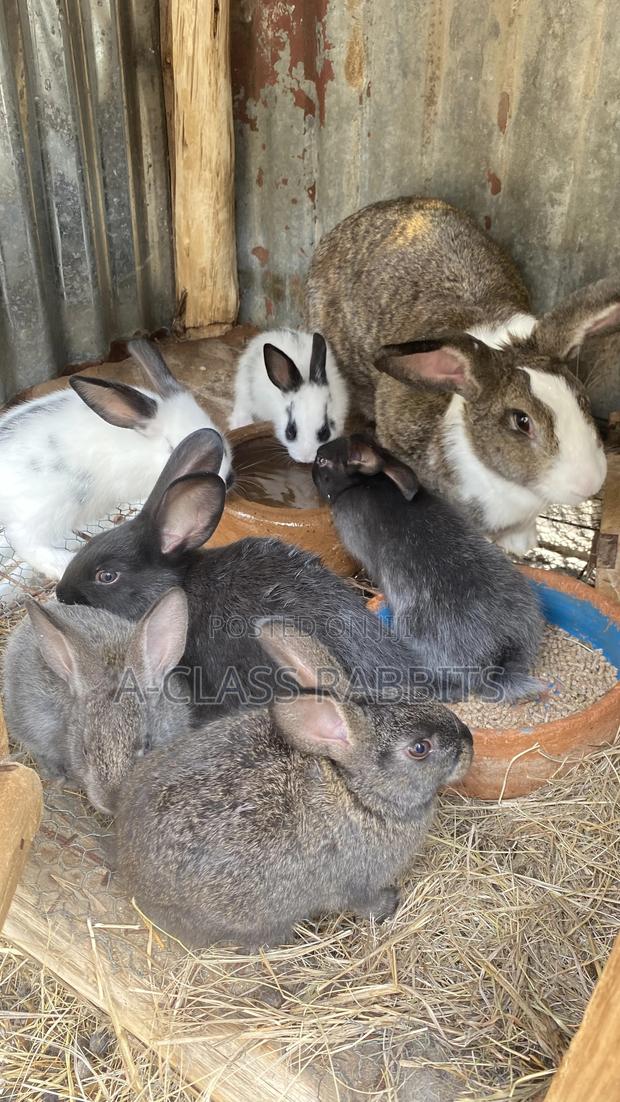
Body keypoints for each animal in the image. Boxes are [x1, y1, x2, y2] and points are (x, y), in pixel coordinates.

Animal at [0, 338, 233, 581]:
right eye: (172, 446)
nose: (228, 480)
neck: (145, 447)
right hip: (48, 509)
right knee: (22, 540)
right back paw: (62, 564)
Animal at [114, 620, 473, 950]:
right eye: (420, 748)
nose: (469, 741)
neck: (357, 792)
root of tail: (131, 872)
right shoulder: (356, 882)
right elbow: (364, 902)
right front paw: (390, 904)